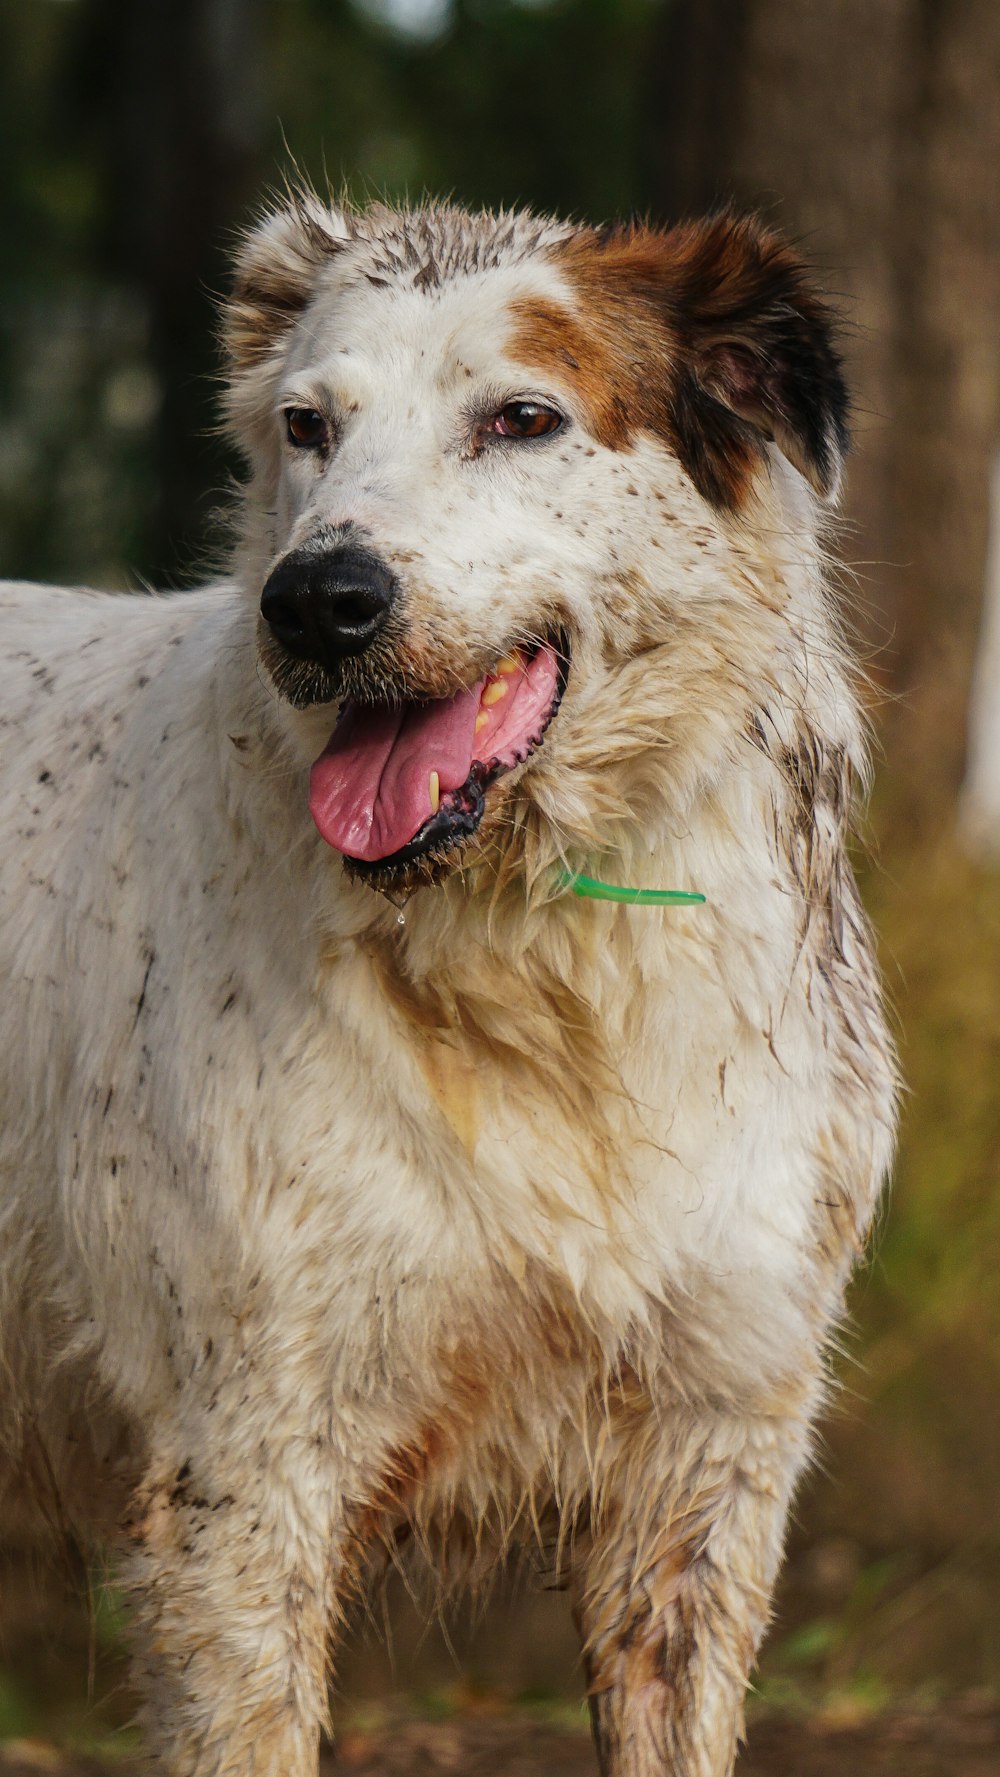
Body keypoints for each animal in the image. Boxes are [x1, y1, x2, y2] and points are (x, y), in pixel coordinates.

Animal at [0, 187, 898, 1769]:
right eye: (307, 426)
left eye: (522, 417)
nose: (316, 602)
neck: (545, 957)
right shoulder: (242, 1478)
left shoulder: (707, 1460)